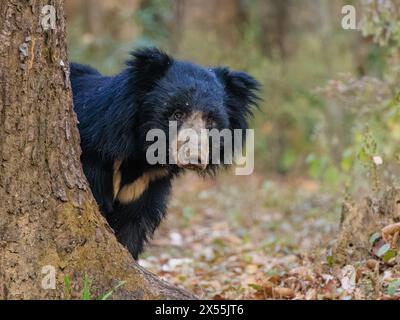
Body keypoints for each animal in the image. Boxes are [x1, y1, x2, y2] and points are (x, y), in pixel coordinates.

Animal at [70, 48, 260, 260]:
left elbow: (132, 227)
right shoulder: (95, 156)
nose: (194, 158)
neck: (142, 159)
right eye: (177, 114)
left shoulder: (147, 186)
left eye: (211, 121)